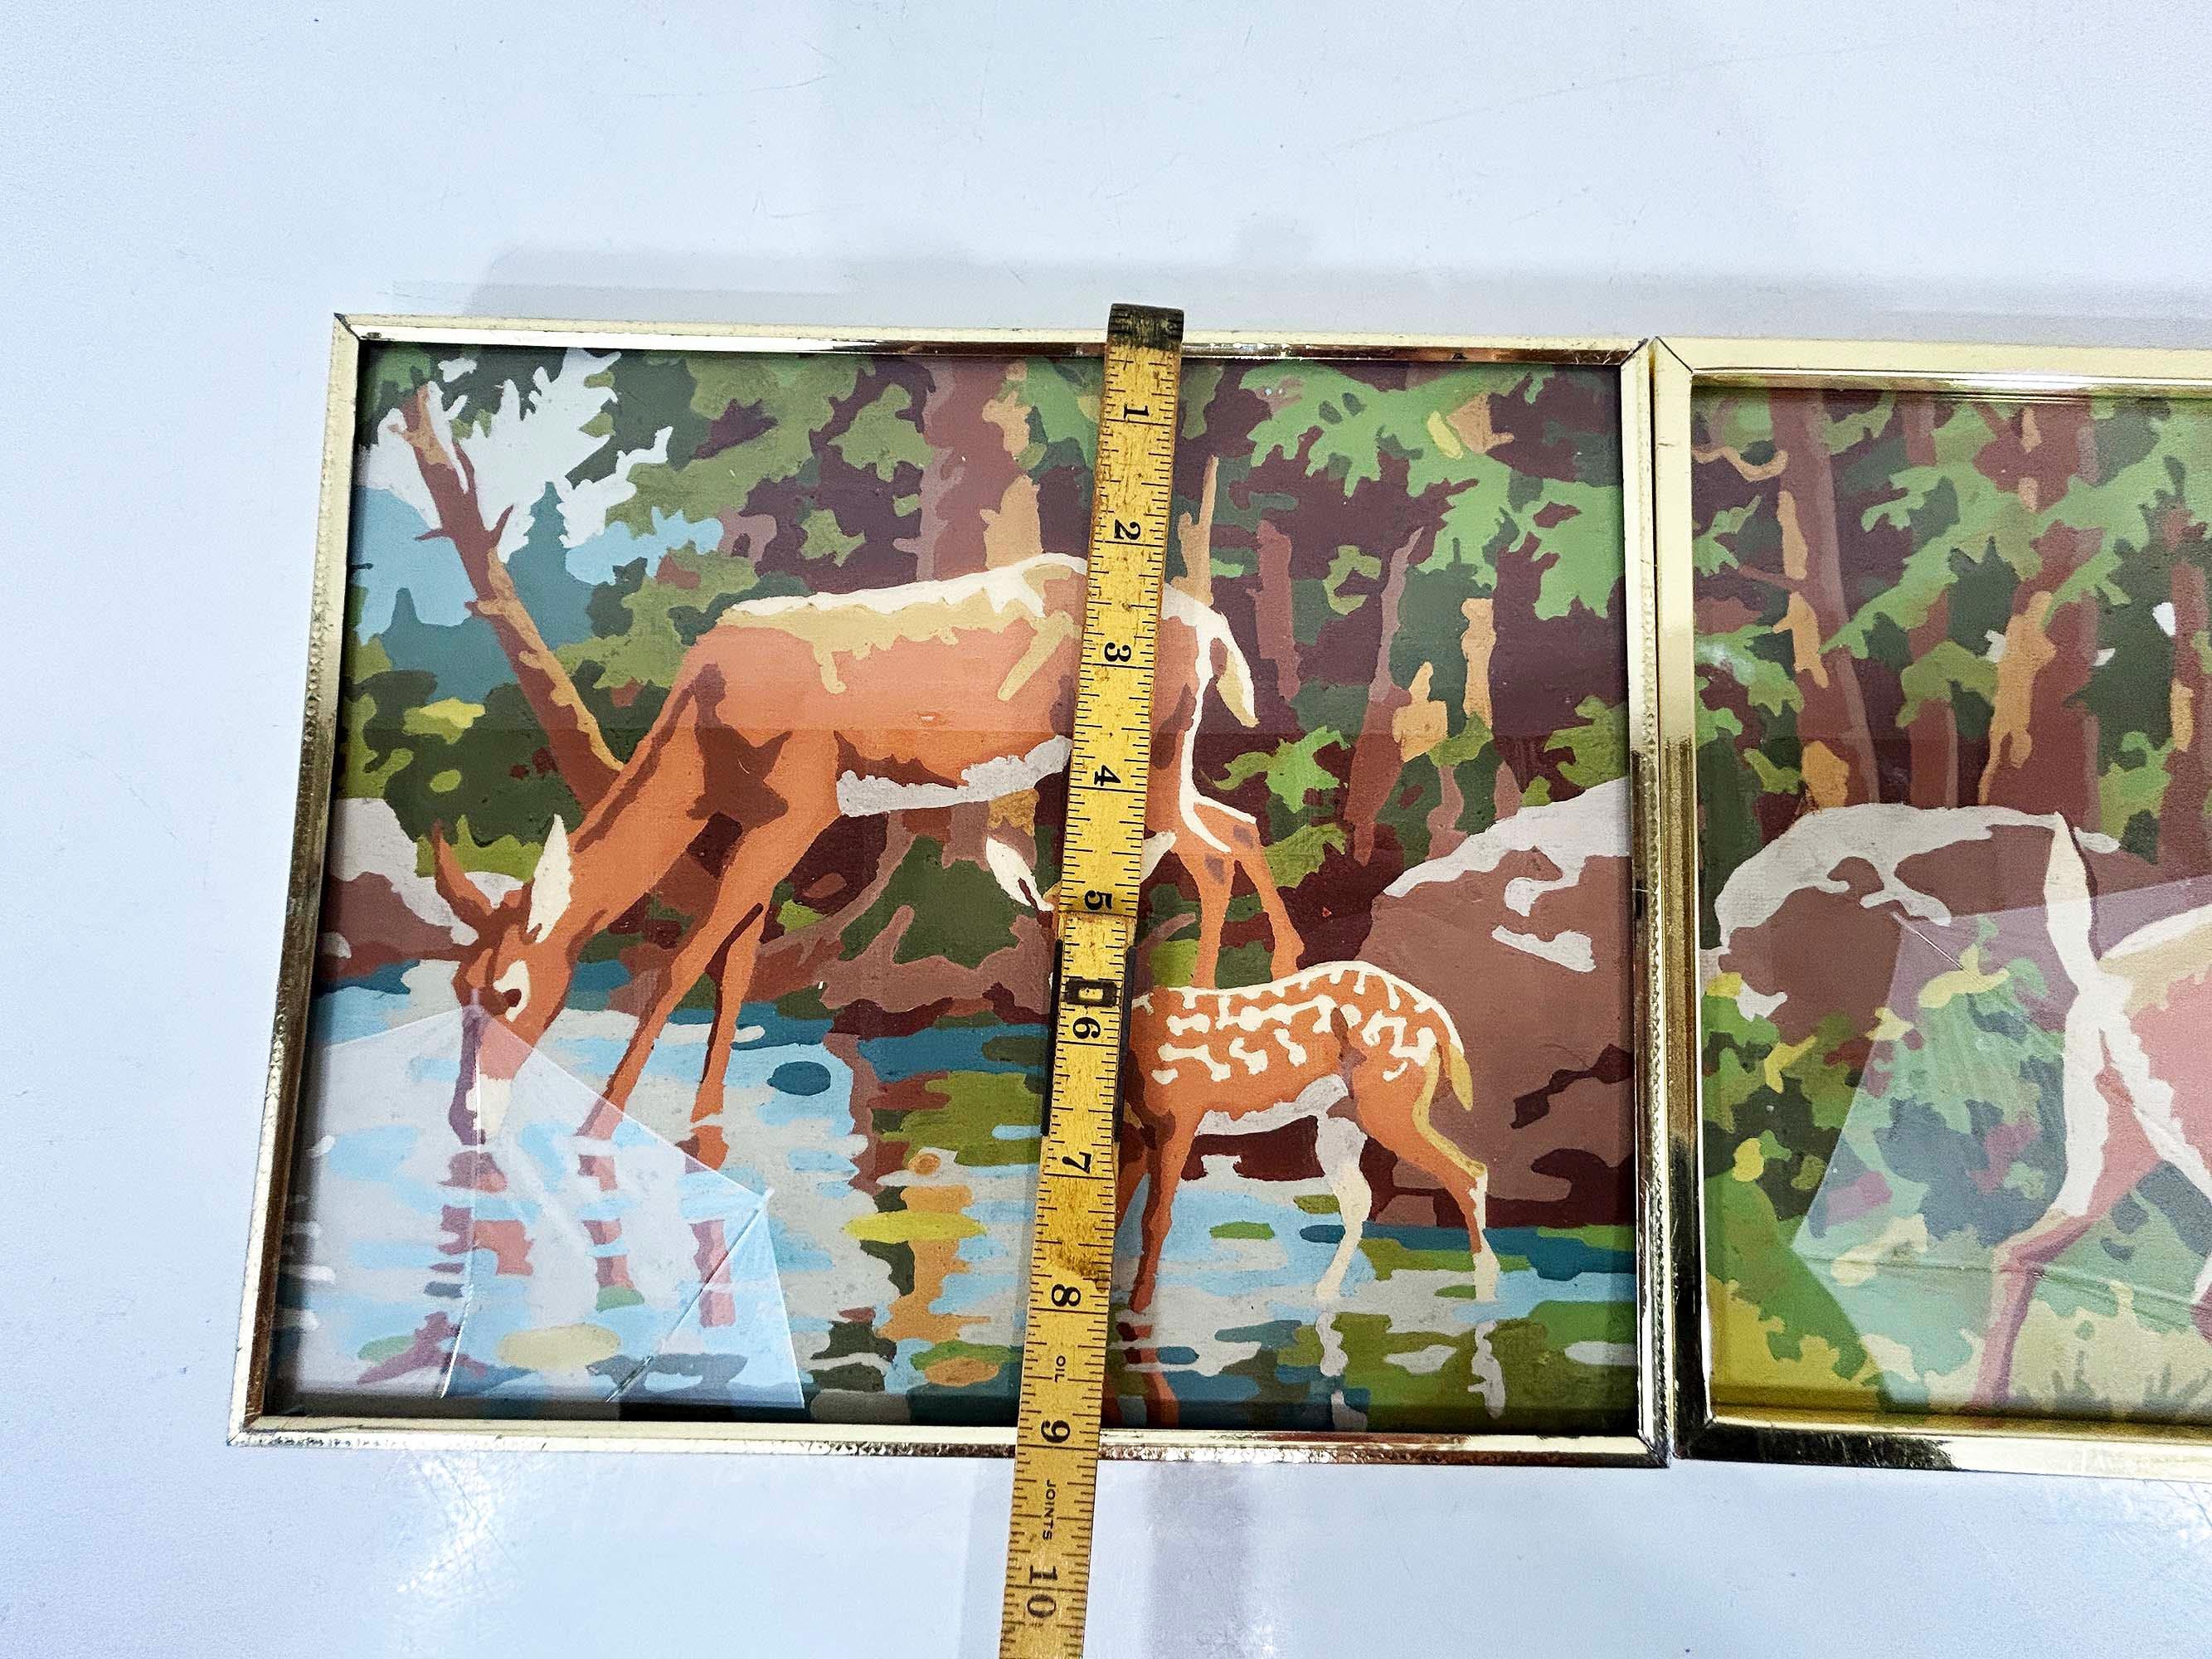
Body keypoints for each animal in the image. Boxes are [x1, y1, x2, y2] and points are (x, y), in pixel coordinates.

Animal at [423, 551, 1305, 1327]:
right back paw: (1268, 970)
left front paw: (598, 1127)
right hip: (1169, 762)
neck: (703, 729)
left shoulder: (795, 808)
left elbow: (685, 960)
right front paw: (705, 1127)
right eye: (457, 985)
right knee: (1237, 826)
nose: (464, 1118)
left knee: (1214, 851)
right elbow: (735, 965)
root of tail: (1213, 629)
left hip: (1152, 756)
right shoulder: (766, 822)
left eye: (508, 991)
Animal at [986, 838, 1500, 1324]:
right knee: (1360, 1199)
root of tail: (1441, 1023)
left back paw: (1486, 1297)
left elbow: (1157, 1217)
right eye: (1047, 916)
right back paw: (1324, 1294)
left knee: (1468, 1173)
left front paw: (1140, 1305)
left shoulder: (1182, 1114)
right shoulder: (1135, 1127)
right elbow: (1114, 1214)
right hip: (1342, 1115)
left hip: (1391, 1097)